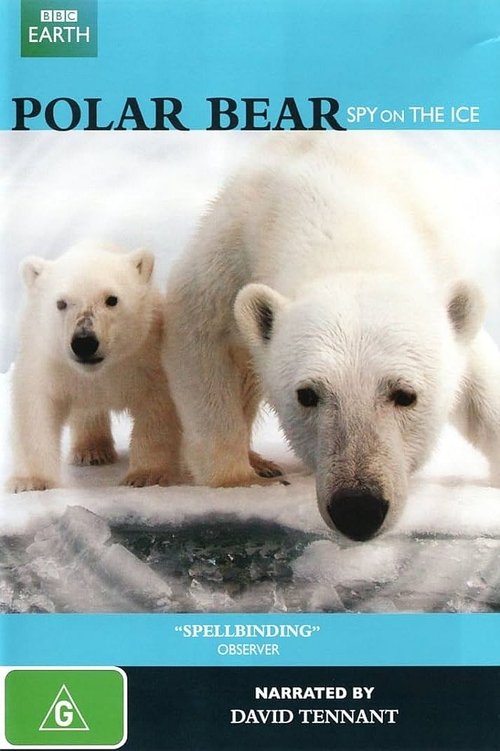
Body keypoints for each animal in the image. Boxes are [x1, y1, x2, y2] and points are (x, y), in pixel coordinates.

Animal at [7, 241, 183, 493]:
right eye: (61, 303)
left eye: (112, 299)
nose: (84, 341)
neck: (99, 372)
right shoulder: (50, 361)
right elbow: (35, 408)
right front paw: (29, 481)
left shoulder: (145, 356)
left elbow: (156, 406)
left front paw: (147, 475)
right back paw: (92, 452)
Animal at [164, 132, 500, 541]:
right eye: (307, 394)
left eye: (406, 394)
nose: (358, 509)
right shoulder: (231, 251)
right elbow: (199, 335)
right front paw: (240, 480)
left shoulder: (440, 263)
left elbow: (481, 383)